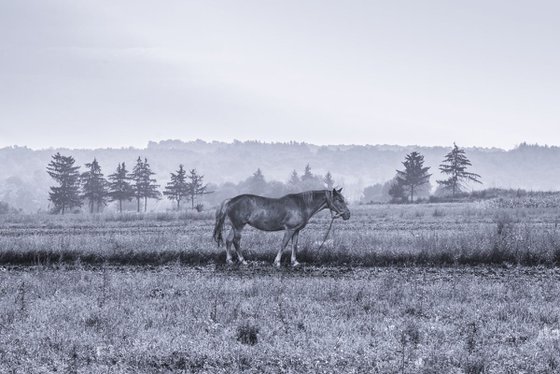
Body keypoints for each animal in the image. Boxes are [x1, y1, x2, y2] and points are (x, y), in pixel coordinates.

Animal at [213, 190, 350, 266]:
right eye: (339, 199)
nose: (348, 214)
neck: (302, 204)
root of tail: (230, 200)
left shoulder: (296, 230)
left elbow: (294, 245)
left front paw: (294, 262)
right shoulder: (289, 229)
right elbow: (283, 244)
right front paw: (277, 262)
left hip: (234, 226)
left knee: (228, 240)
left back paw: (229, 260)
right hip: (239, 226)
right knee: (236, 241)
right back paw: (243, 261)